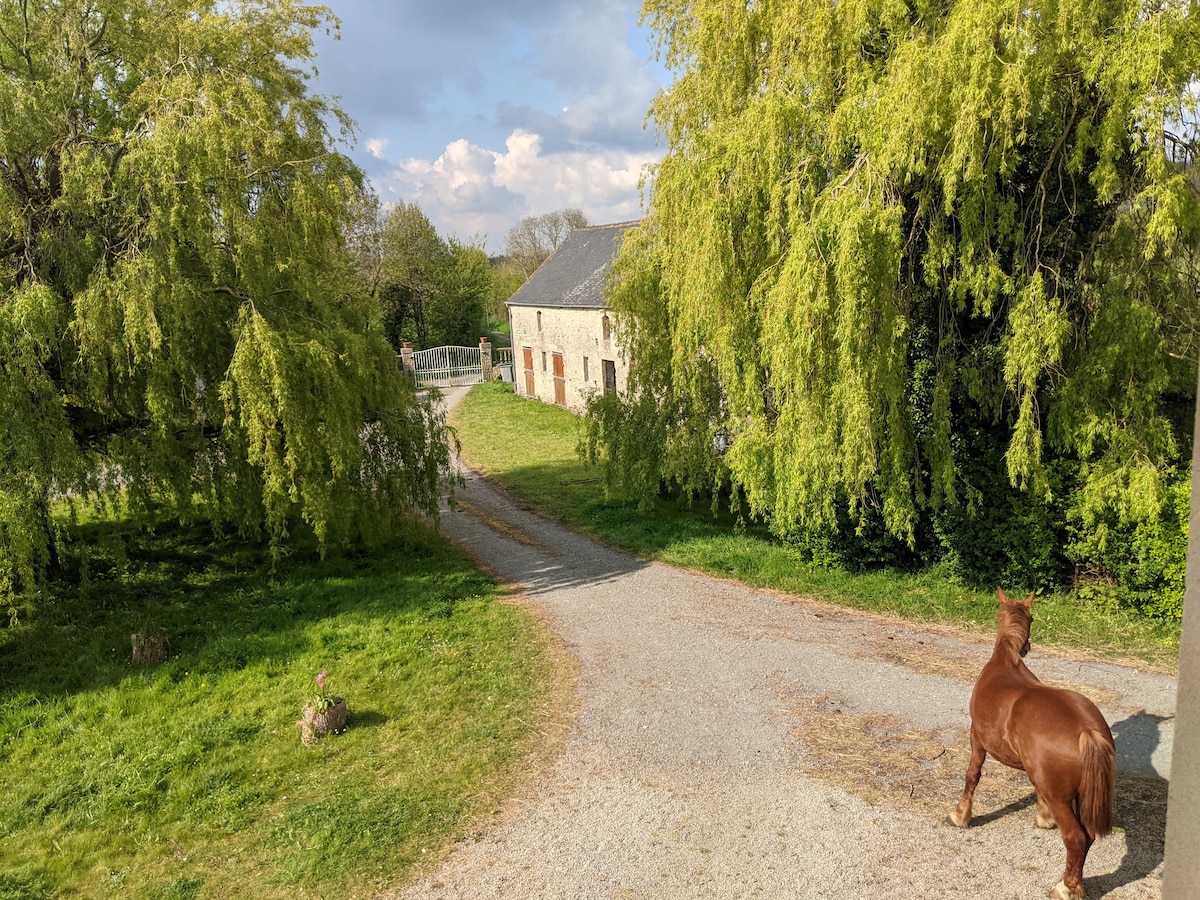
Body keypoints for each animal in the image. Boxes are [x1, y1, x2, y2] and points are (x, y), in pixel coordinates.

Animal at [950, 589, 1115, 900]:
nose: (1028, 647)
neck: (1005, 663)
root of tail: (1088, 731)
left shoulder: (976, 737)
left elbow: (972, 775)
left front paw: (960, 815)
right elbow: (1036, 788)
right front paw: (1044, 817)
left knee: (1076, 838)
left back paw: (1066, 887)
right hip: (1081, 795)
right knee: (1088, 836)